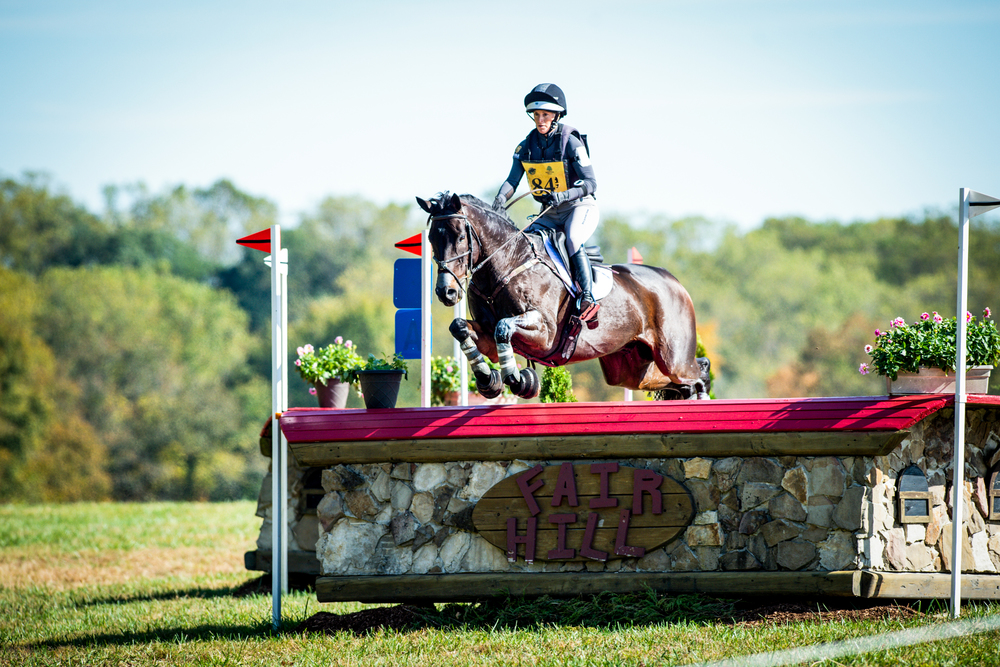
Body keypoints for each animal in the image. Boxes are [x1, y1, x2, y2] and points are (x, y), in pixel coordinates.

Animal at [414, 190, 712, 400]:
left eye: (459, 237)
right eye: (431, 238)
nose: (446, 292)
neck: (508, 263)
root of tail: (674, 282)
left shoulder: (545, 334)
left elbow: (504, 327)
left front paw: (519, 380)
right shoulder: (485, 332)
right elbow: (460, 327)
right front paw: (489, 380)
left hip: (673, 358)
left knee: (697, 375)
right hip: (630, 370)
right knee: (683, 380)